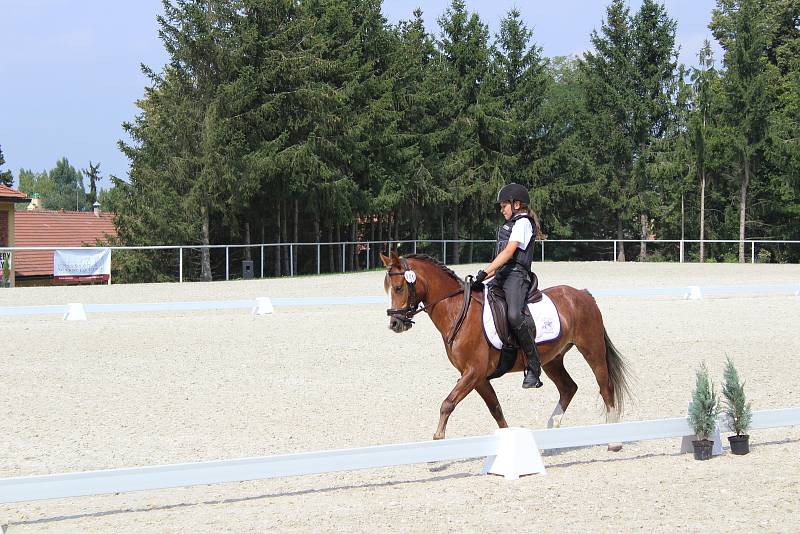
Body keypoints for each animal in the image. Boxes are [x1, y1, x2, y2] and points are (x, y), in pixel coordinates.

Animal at [382, 251, 632, 448]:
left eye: (399, 287)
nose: (395, 324)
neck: (458, 311)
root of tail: (582, 294)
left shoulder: (473, 372)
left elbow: (448, 403)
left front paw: (438, 437)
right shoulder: (478, 377)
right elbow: (496, 409)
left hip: (592, 349)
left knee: (605, 387)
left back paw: (613, 442)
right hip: (552, 359)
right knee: (568, 388)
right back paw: (551, 429)